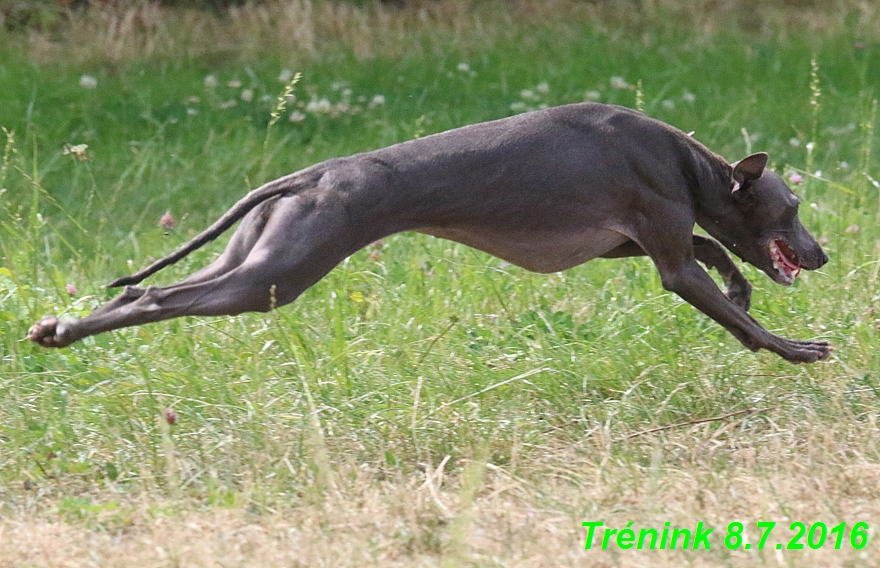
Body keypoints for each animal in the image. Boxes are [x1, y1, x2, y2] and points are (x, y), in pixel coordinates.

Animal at [25, 102, 824, 364]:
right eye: (790, 208)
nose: (822, 253)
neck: (683, 160)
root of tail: (311, 175)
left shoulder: (625, 242)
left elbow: (713, 250)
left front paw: (742, 288)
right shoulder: (663, 256)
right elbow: (724, 302)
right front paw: (795, 348)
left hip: (254, 257)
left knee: (146, 293)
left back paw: (57, 328)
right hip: (275, 276)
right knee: (157, 300)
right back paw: (63, 332)